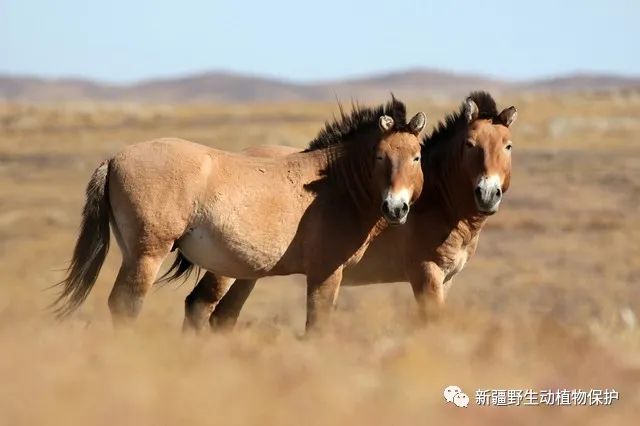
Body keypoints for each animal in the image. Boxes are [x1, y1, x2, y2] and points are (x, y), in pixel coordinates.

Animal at [52, 98, 428, 332]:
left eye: (416, 157)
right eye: (380, 156)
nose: (396, 208)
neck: (333, 184)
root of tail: (114, 158)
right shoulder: (325, 275)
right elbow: (317, 328)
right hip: (147, 255)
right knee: (125, 306)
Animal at [178, 91, 516, 328]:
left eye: (508, 145)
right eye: (470, 144)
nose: (487, 194)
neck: (434, 200)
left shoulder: (446, 279)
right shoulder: (425, 274)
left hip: (249, 270)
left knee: (222, 316)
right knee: (200, 305)